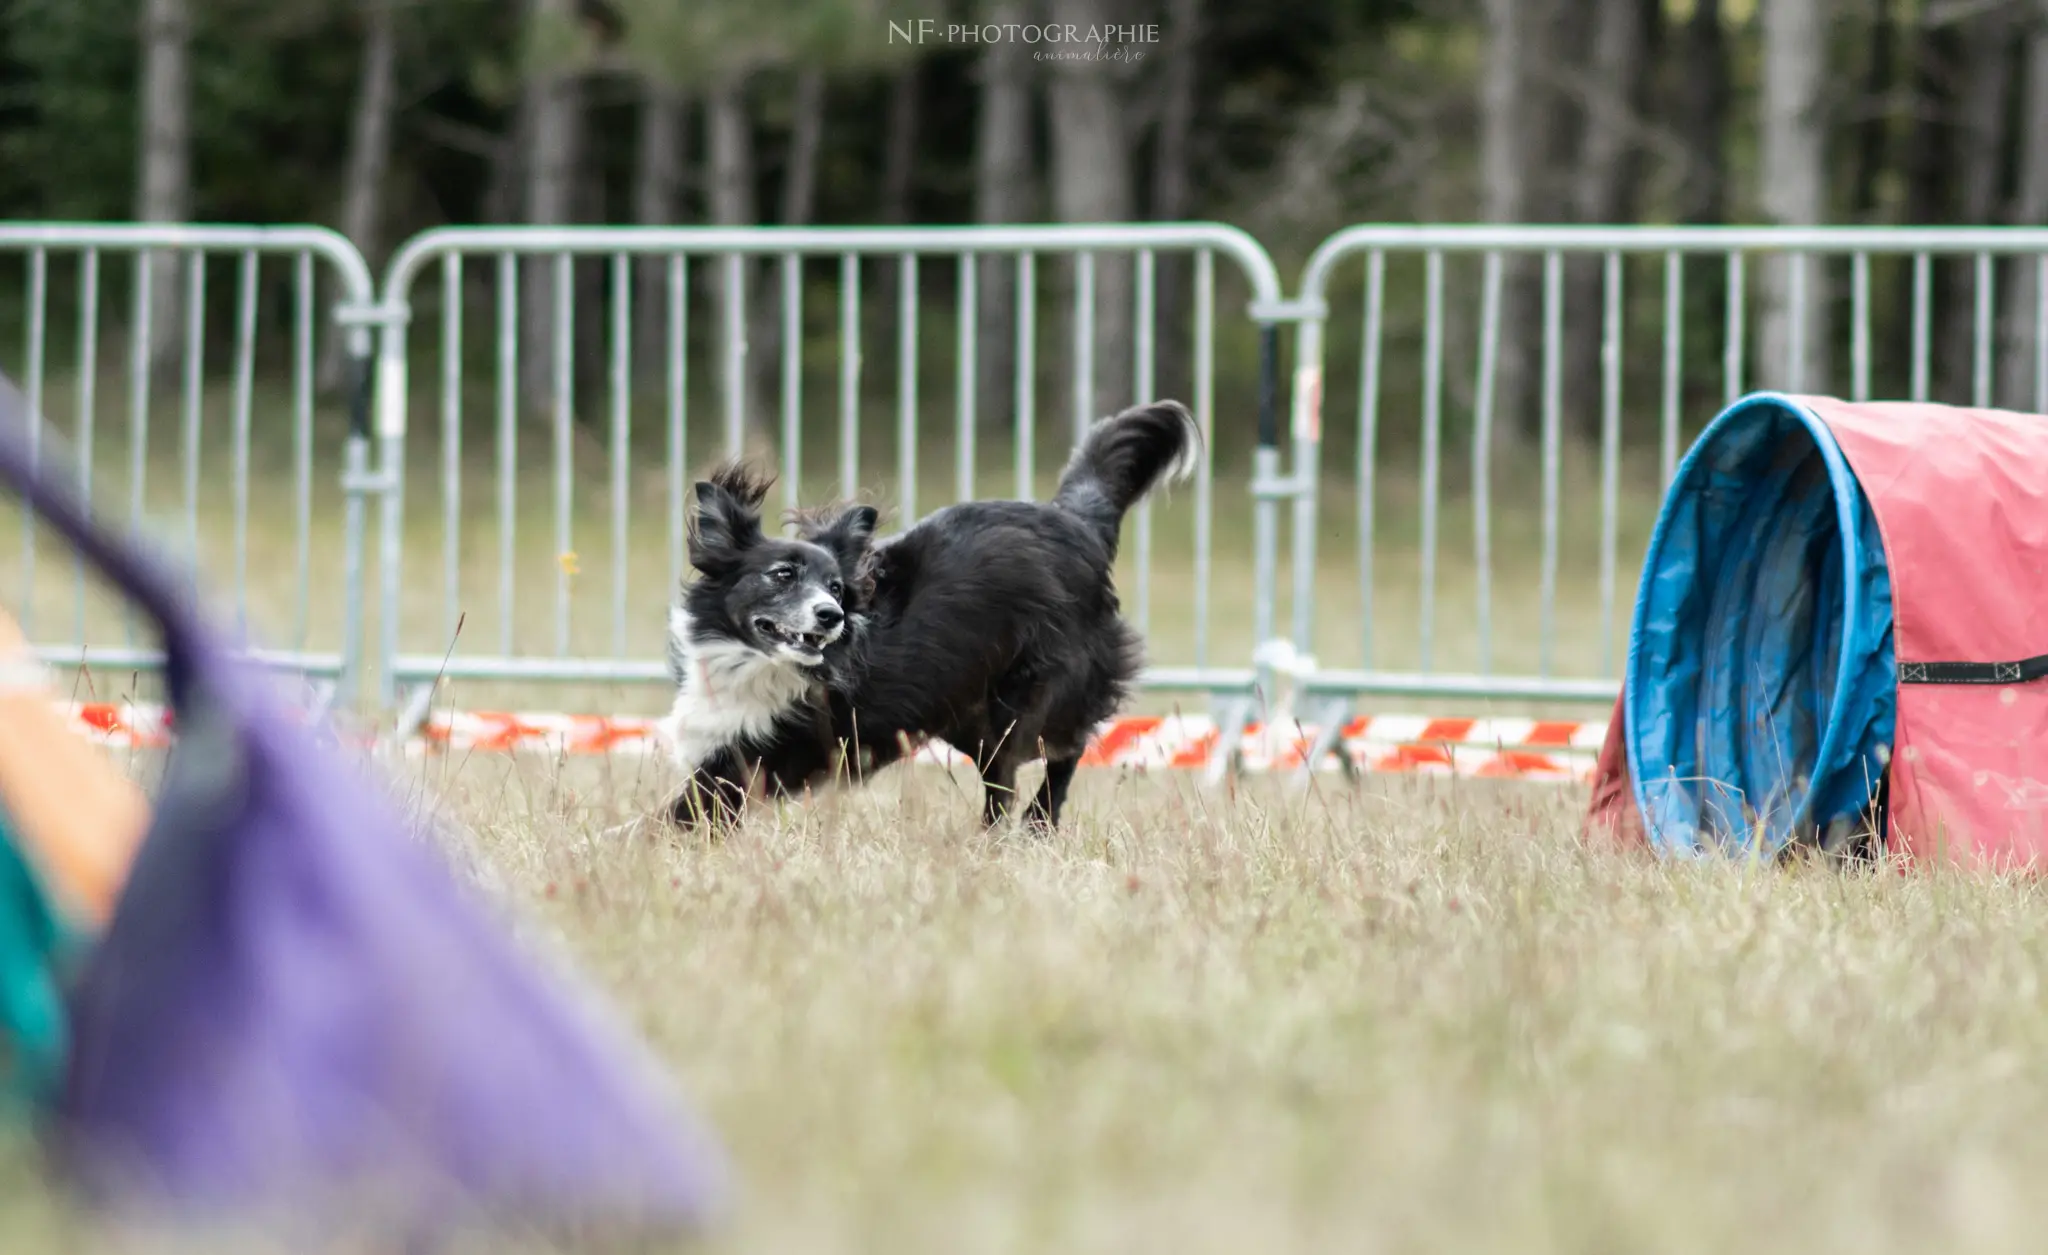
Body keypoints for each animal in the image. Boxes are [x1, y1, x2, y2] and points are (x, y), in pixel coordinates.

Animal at [655, 401, 1196, 831]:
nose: (831, 616)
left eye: (836, 589)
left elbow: (686, 808)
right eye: (782, 574)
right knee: (1011, 773)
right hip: (966, 710)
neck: (752, 661)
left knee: (1055, 756)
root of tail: (1075, 521)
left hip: (1030, 695)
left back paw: (1031, 825)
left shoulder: (765, 752)